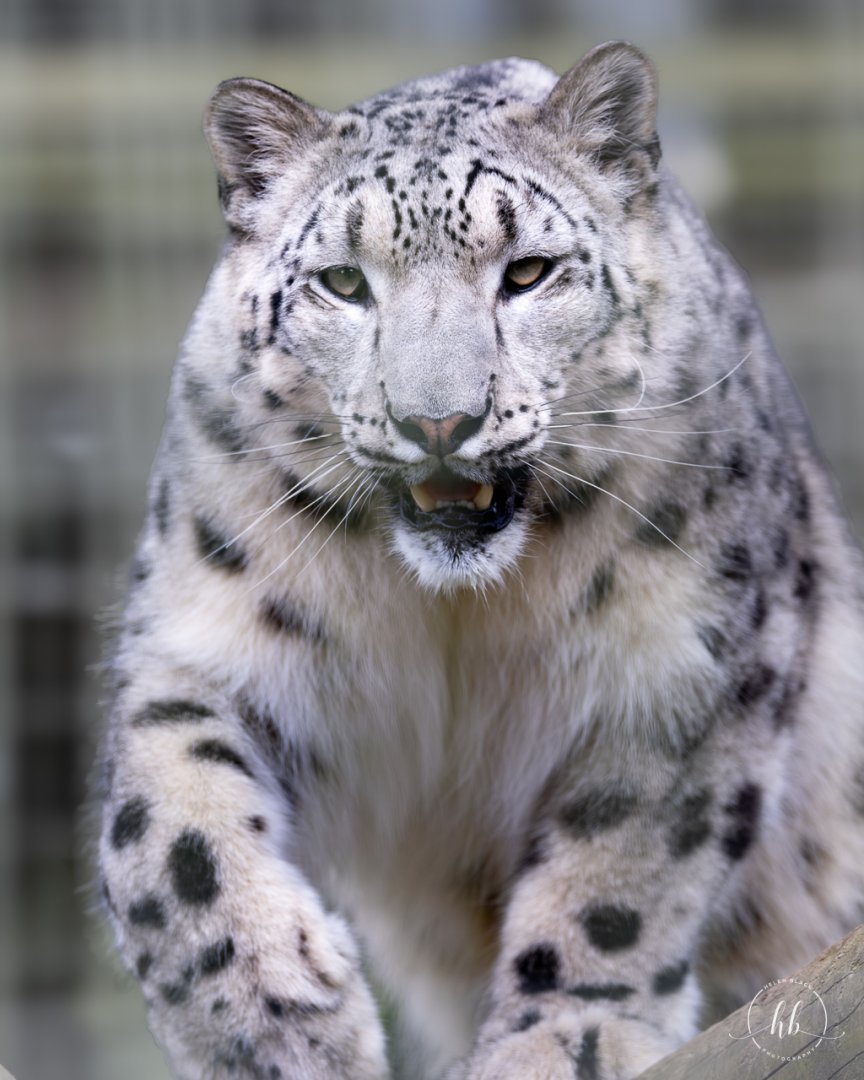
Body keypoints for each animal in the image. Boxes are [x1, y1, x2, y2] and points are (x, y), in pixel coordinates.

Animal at [96, 41, 864, 1080]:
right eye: (344, 283)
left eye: (528, 272)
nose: (437, 422)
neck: (455, 609)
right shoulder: (204, 634)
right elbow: (166, 832)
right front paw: (275, 1025)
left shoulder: (687, 666)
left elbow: (622, 866)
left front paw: (564, 1038)